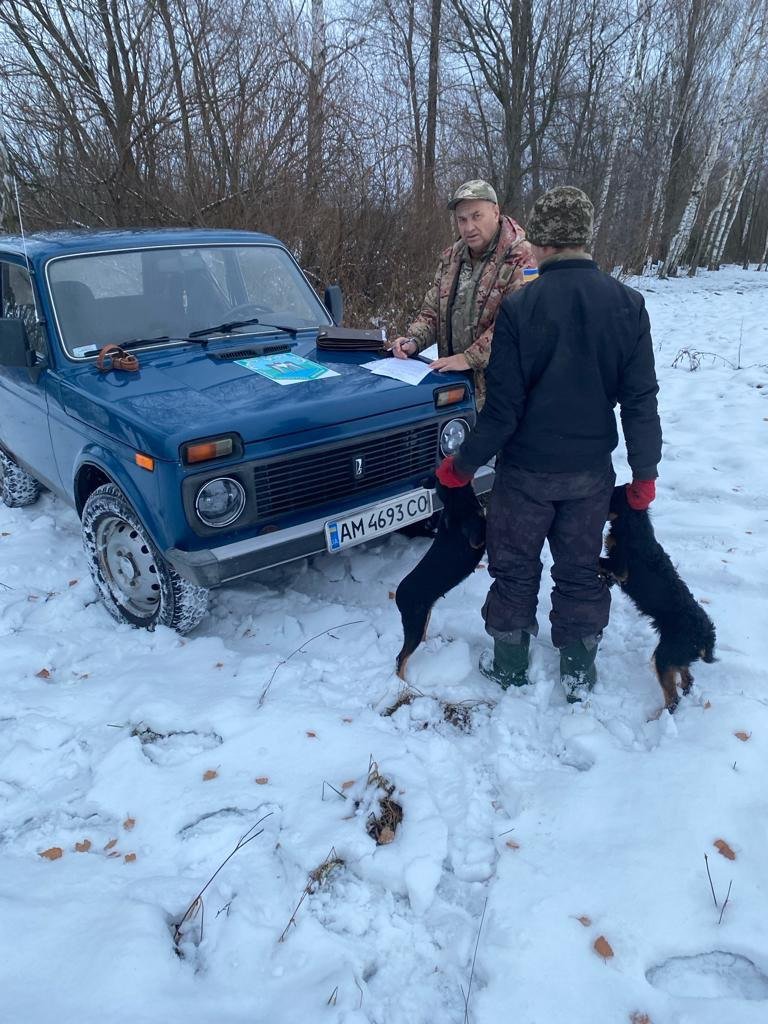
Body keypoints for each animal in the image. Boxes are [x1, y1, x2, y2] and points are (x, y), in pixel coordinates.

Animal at [397, 479, 487, 679]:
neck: (456, 498)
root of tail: (398, 596)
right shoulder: (475, 540)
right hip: (415, 625)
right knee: (400, 658)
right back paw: (404, 683)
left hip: (424, 617)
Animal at [606, 485, 720, 712]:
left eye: (610, 496)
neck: (635, 524)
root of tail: (704, 634)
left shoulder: (620, 566)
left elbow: (601, 562)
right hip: (676, 653)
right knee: (687, 678)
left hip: (664, 656)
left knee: (673, 697)